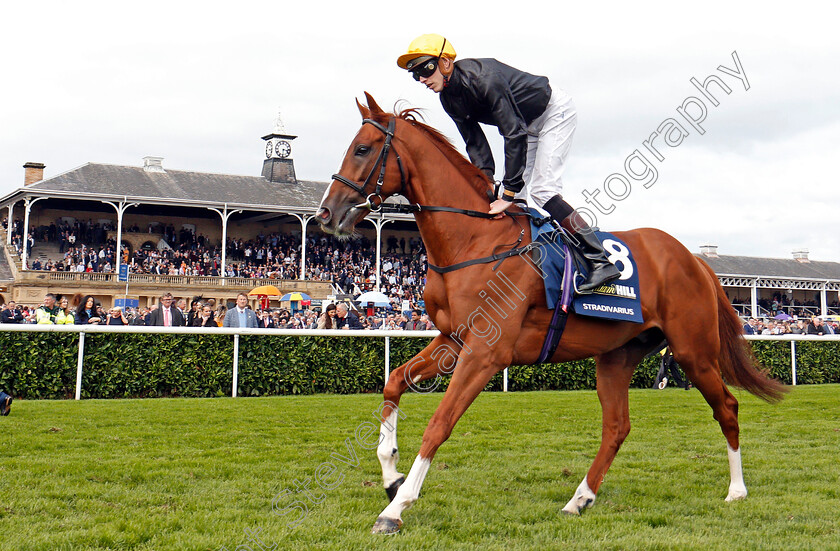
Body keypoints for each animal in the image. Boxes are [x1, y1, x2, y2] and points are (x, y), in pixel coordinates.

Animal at [314, 94, 780, 536]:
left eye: (361, 149)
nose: (325, 213)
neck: (475, 240)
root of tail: (694, 259)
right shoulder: (452, 340)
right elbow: (394, 382)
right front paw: (391, 474)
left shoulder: (486, 353)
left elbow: (439, 423)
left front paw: (396, 508)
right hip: (617, 355)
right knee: (617, 426)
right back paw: (580, 498)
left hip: (693, 351)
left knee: (728, 407)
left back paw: (736, 490)